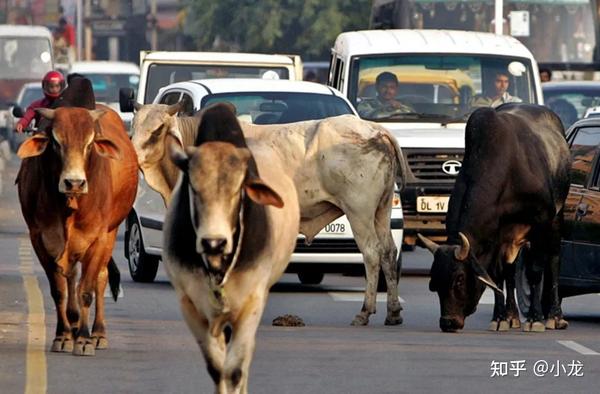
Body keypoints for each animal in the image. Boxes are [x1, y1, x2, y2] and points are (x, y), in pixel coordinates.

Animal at [16, 105, 139, 358]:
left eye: (90, 143)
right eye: (56, 142)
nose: (74, 183)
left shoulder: (98, 238)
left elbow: (86, 291)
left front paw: (83, 339)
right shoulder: (39, 238)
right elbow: (59, 290)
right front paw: (63, 336)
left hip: (110, 233)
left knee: (100, 278)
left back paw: (98, 333)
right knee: (71, 276)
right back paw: (72, 325)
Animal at [420, 104, 568, 332]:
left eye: (459, 279)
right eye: (434, 282)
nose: (448, 322)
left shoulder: (541, 221)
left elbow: (535, 271)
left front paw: (535, 319)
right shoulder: (496, 235)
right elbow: (497, 276)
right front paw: (500, 318)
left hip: (556, 220)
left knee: (553, 259)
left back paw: (554, 316)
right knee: (509, 271)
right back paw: (512, 316)